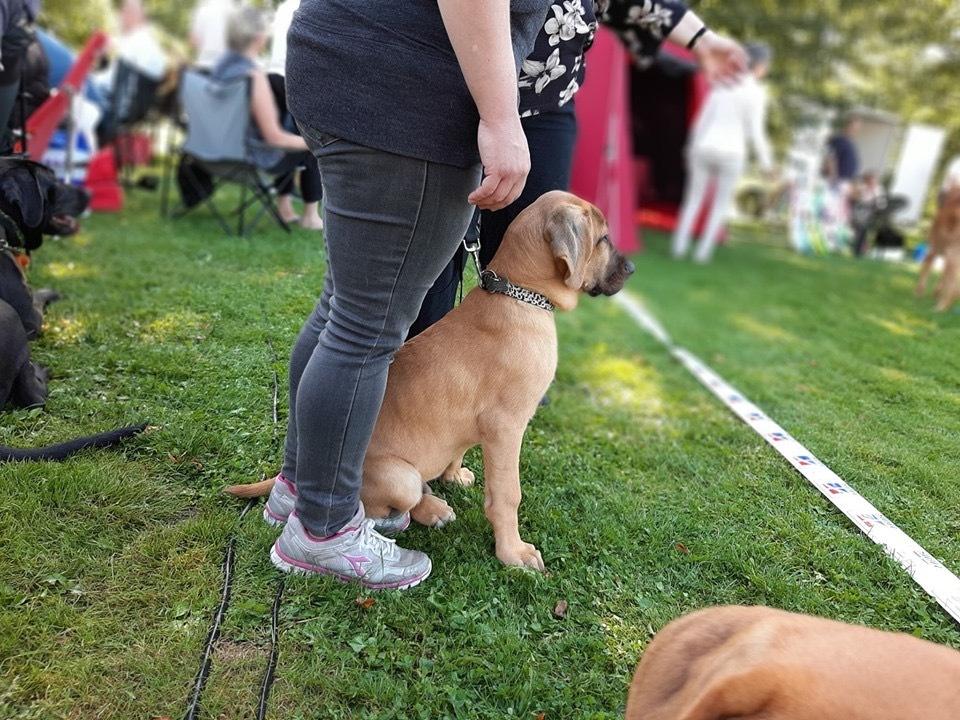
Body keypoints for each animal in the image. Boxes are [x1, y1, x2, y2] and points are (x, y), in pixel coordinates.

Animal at [229, 190, 636, 568]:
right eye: (603, 239)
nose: (632, 268)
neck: (520, 294)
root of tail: (298, 477)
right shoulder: (506, 428)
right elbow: (508, 495)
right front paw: (513, 552)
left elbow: (459, 448)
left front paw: (454, 475)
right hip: (400, 478)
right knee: (384, 508)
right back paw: (429, 511)